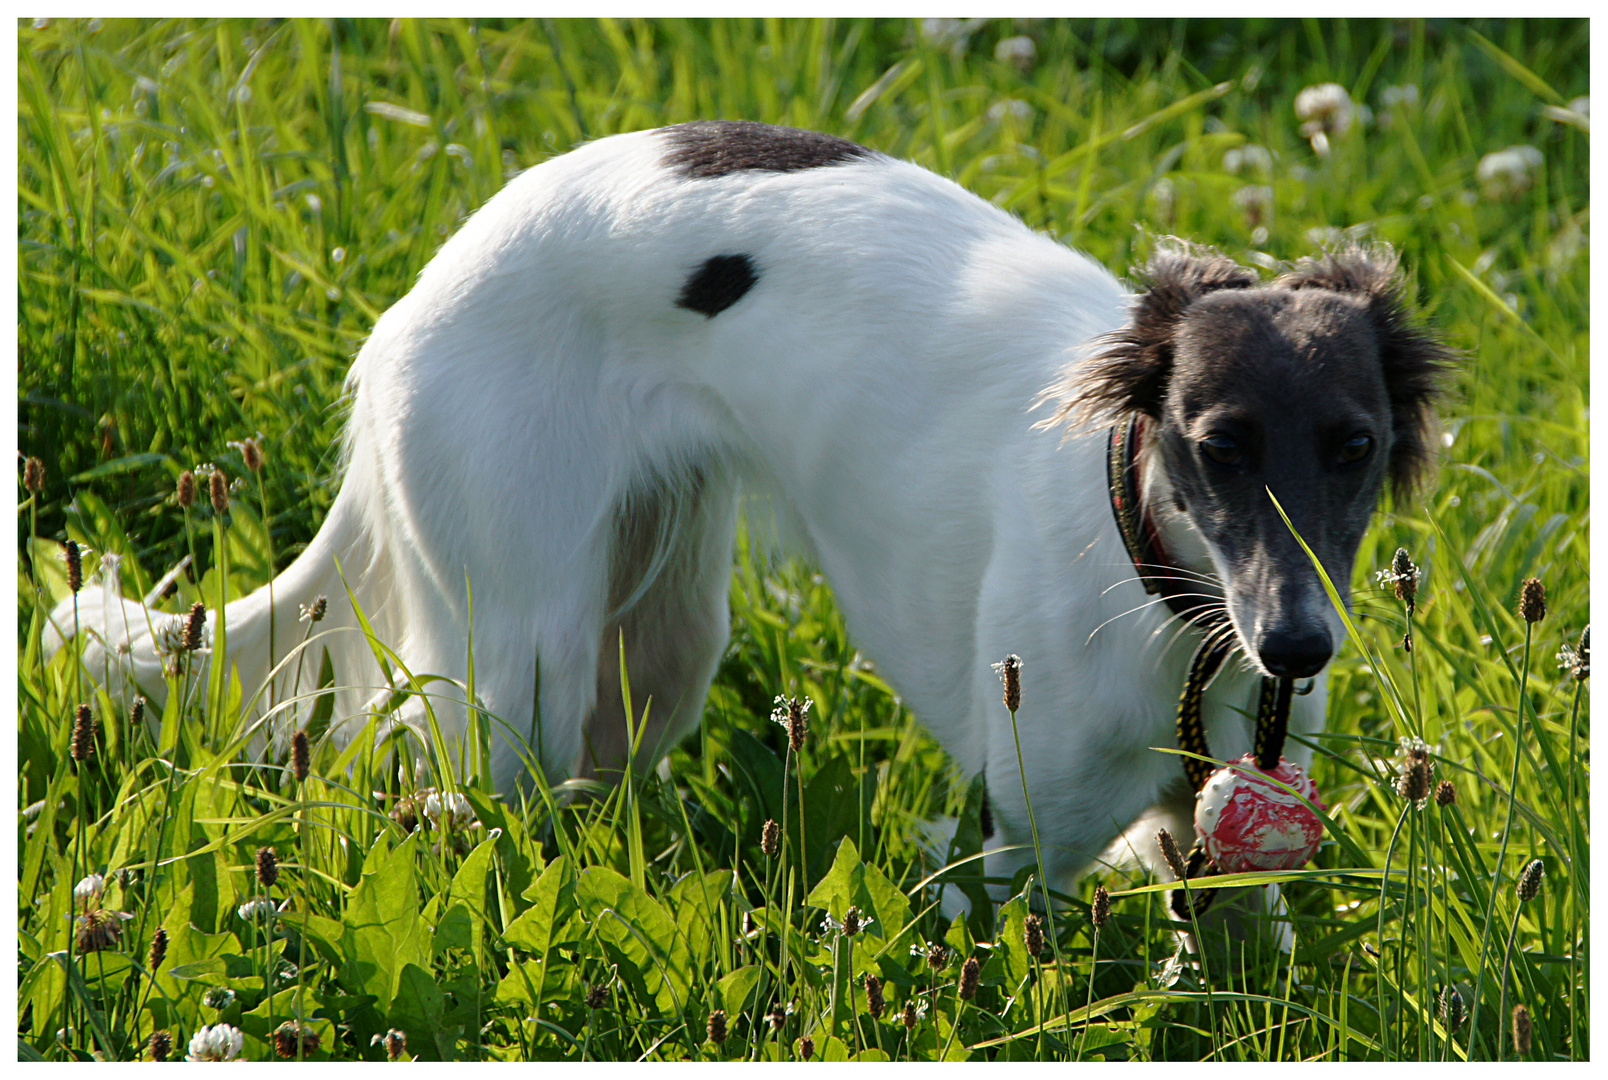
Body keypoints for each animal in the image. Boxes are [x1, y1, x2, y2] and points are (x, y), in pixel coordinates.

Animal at [47, 120, 1447, 912]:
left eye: (1357, 448)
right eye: (1217, 449)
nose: (1299, 646)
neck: (1171, 599)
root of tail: (429, 284)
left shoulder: (1221, 866)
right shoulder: (1005, 854)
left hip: (652, 648)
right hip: (521, 668)